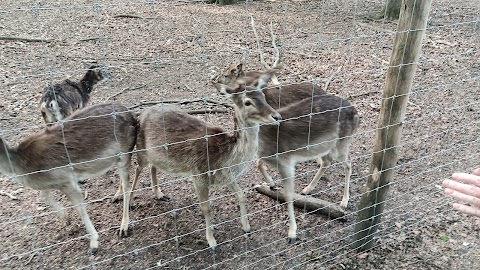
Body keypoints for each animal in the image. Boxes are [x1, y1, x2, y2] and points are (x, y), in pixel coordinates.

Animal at [0, 102, 137, 254]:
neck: (21, 167)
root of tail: (132, 115)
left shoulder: (66, 180)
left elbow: (79, 206)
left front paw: (94, 243)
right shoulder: (52, 182)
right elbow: (43, 196)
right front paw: (66, 217)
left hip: (124, 153)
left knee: (127, 185)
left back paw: (123, 227)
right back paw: (116, 196)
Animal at [131, 69, 282, 251]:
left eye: (263, 96)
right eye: (247, 102)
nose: (277, 116)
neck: (225, 158)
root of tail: (143, 112)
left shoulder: (226, 176)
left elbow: (241, 195)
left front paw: (246, 227)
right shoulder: (199, 174)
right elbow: (206, 207)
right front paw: (212, 241)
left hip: (156, 155)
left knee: (153, 166)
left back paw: (160, 194)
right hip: (141, 148)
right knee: (136, 170)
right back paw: (126, 214)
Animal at [258, 94, 356, 243]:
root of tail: (356, 112)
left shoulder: (286, 162)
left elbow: (288, 194)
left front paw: (292, 233)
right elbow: (258, 163)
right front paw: (272, 184)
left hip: (342, 143)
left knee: (349, 163)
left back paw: (344, 201)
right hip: (325, 146)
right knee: (327, 161)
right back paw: (307, 189)